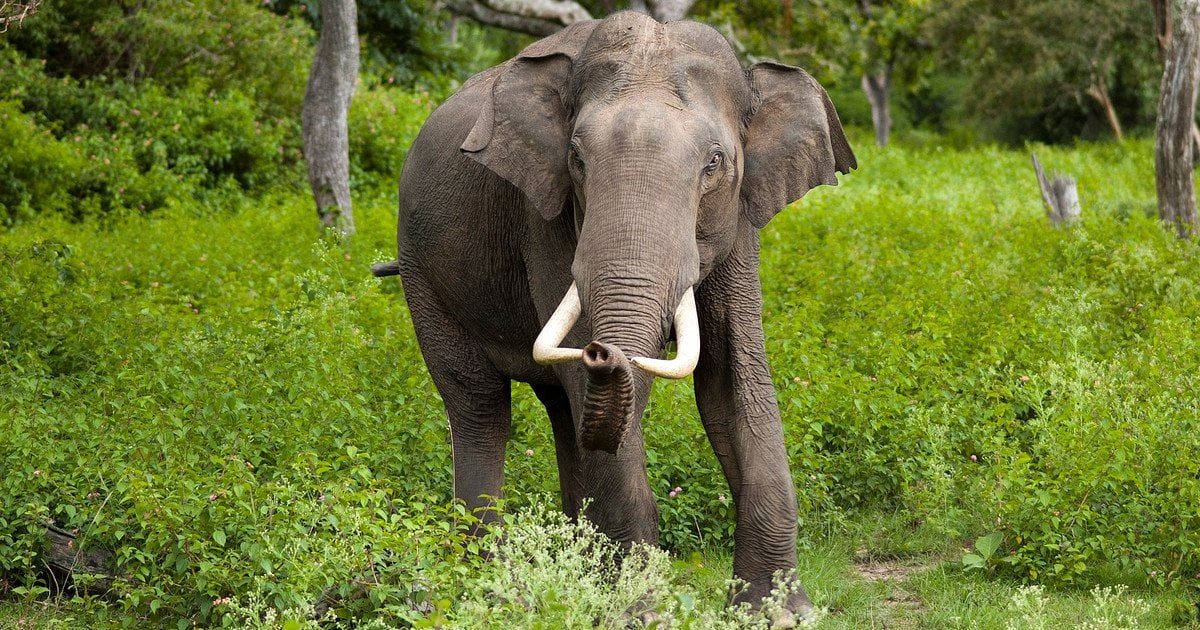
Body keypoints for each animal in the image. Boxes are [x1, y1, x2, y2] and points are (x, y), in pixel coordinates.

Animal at [372, 11, 855, 619]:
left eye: (714, 163)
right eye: (577, 160)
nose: (604, 351)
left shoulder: (740, 219)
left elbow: (732, 381)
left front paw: (779, 613)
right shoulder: (545, 216)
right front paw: (639, 612)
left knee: (562, 410)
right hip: (422, 271)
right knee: (480, 404)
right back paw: (493, 585)